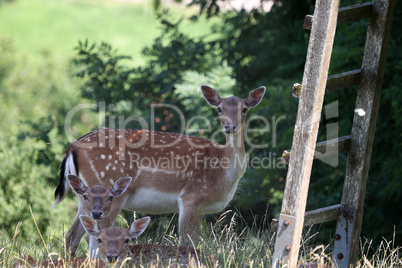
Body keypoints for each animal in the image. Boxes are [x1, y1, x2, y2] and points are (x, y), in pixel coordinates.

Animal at [55, 84, 266, 255]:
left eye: (244, 109)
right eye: (219, 109)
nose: (230, 127)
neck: (222, 173)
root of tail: (72, 147)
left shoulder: (202, 208)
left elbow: (195, 243)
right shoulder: (190, 196)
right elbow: (185, 242)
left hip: (84, 197)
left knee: (72, 236)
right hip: (109, 192)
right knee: (94, 237)